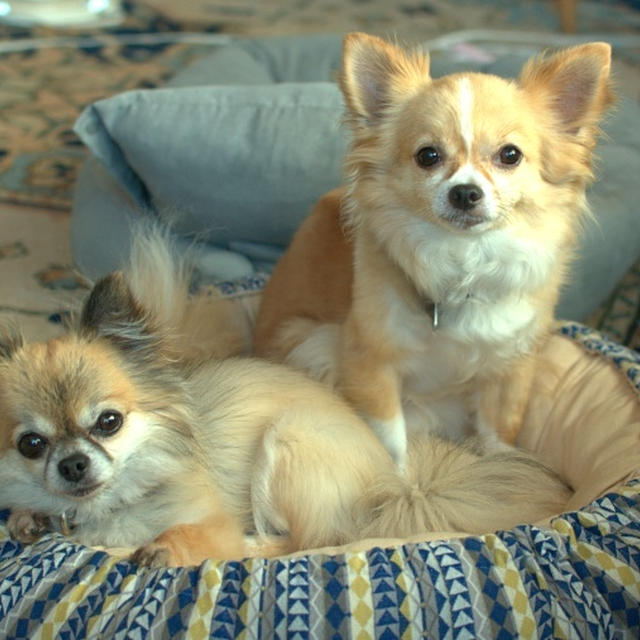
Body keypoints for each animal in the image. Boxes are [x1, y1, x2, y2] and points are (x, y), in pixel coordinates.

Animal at [254, 32, 616, 468]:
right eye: (428, 156)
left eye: (510, 155)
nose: (465, 192)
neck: (464, 261)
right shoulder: (370, 362)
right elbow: (389, 438)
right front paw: (398, 480)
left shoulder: (511, 367)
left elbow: (499, 431)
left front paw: (502, 471)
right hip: (314, 343)